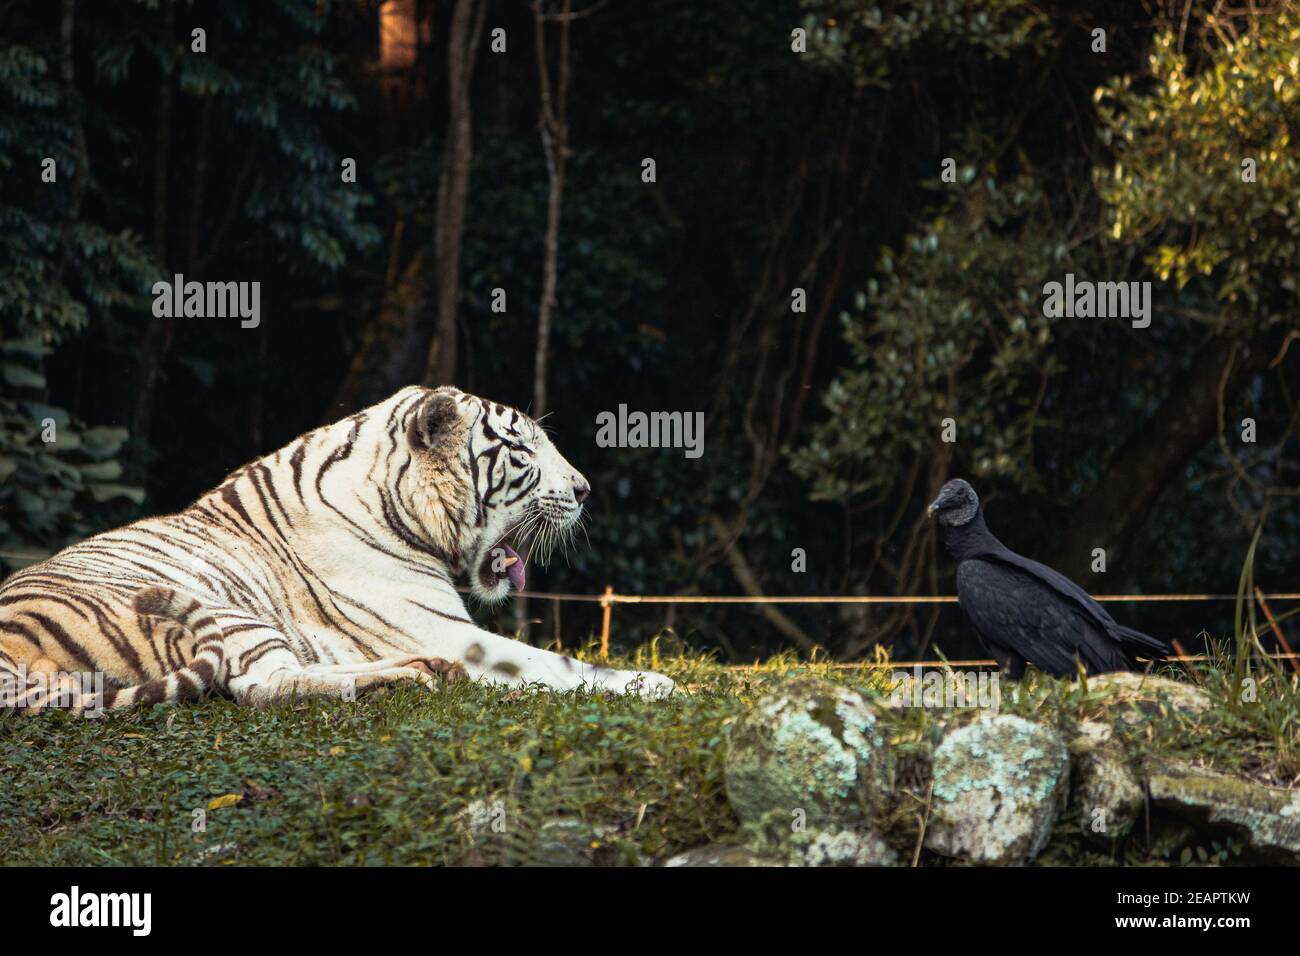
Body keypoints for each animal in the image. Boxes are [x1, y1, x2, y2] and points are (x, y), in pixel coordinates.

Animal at [0, 385, 670, 712]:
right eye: (524, 450)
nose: (584, 490)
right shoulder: (451, 631)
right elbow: (557, 664)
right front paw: (661, 685)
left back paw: (422, 672)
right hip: (217, 607)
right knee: (259, 687)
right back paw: (408, 675)